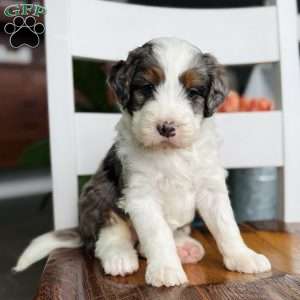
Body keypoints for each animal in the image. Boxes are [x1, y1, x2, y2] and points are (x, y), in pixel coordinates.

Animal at [14, 38, 272, 288]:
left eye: (193, 92)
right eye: (147, 88)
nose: (166, 127)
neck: (171, 153)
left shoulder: (211, 187)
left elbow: (226, 226)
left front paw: (243, 257)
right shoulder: (141, 194)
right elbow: (157, 234)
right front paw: (166, 270)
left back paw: (184, 247)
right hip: (99, 192)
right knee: (110, 235)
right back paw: (119, 257)